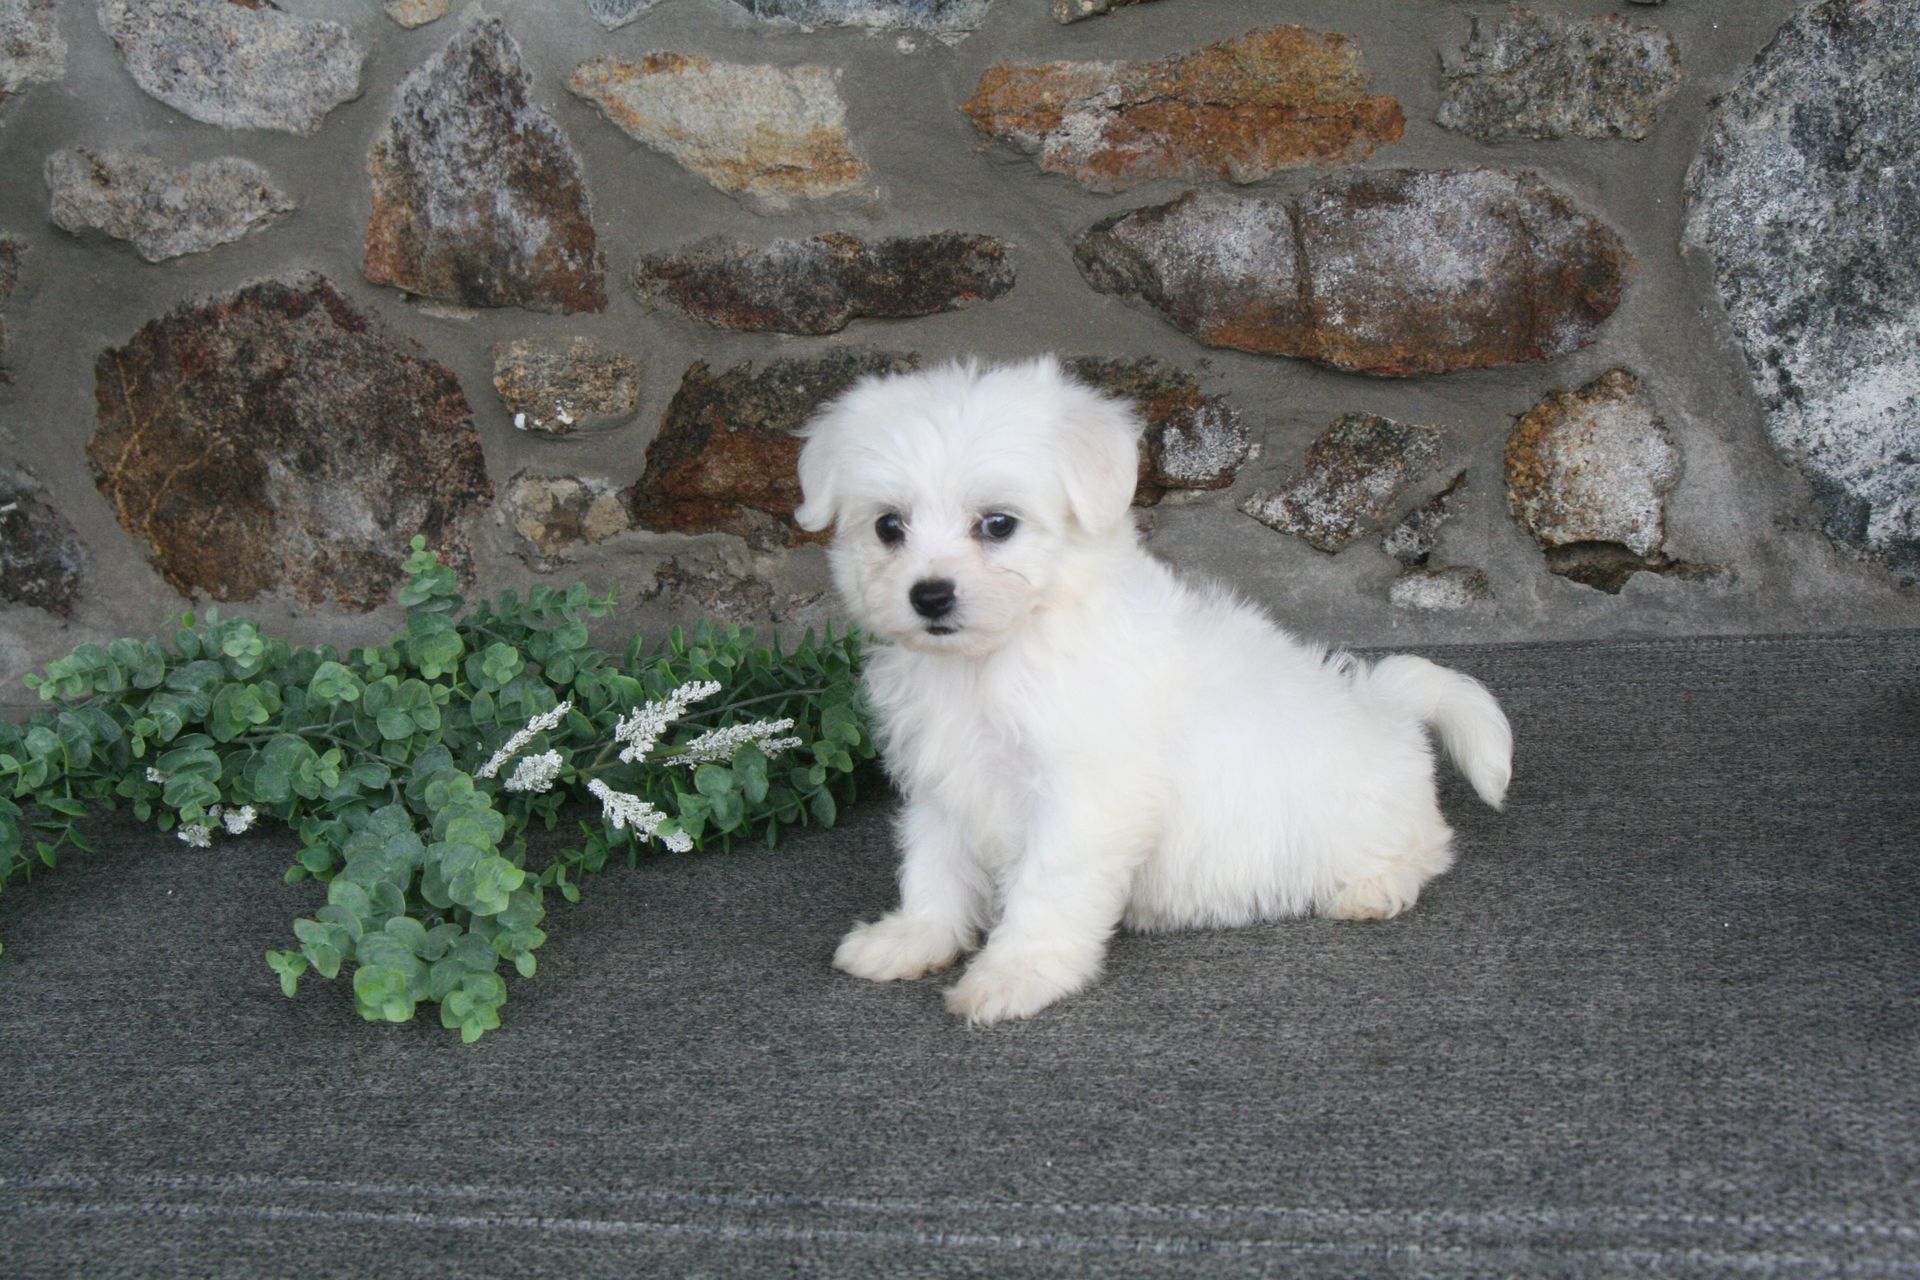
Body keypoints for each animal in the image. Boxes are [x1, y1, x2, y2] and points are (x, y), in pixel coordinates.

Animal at [794, 357, 1512, 1024]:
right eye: (889, 527)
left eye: (998, 524)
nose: (930, 595)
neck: (998, 655)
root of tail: (1386, 705)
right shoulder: (945, 783)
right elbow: (934, 869)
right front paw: (912, 938)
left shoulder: (1083, 799)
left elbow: (1044, 891)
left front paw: (1014, 975)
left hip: (1374, 820)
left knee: (1429, 847)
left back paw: (1374, 889)